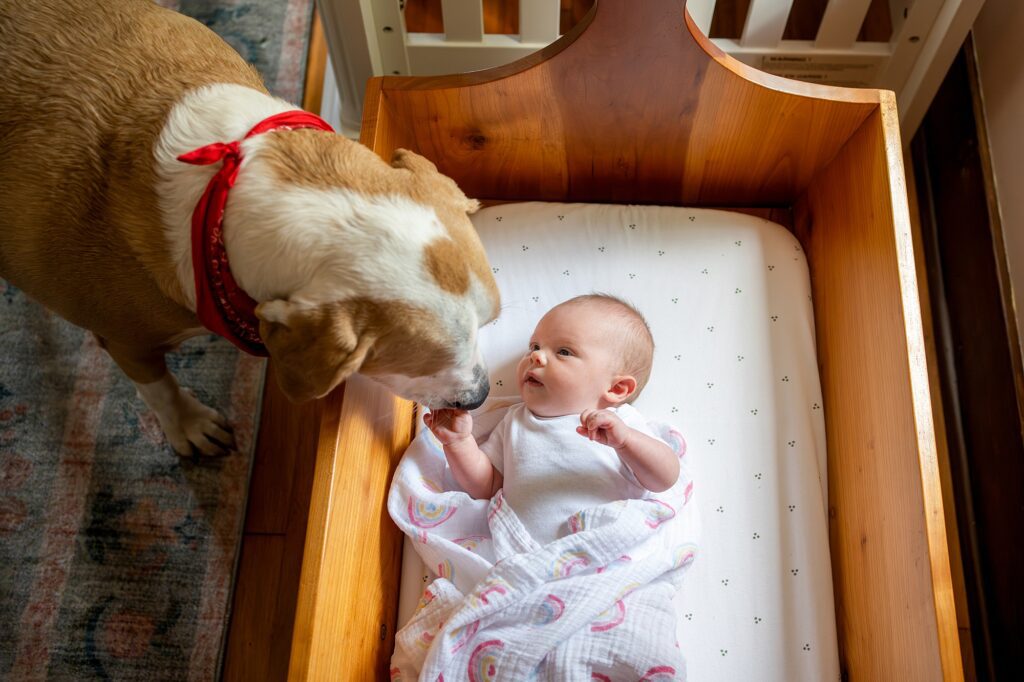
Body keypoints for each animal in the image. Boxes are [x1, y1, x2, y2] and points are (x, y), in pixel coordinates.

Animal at [0, 2, 499, 454]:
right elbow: (159, 387)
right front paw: (188, 425)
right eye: (420, 364)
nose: (480, 396)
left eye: (489, 323)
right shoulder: (124, 338)